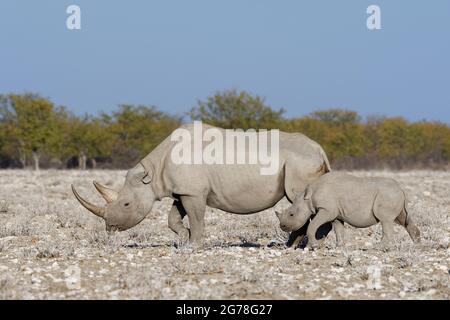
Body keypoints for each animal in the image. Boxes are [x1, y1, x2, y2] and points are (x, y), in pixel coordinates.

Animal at [276, 172, 420, 248]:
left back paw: (378, 247)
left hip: (387, 195)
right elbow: (338, 229)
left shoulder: (327, 210)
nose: (282, 226)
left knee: (385, 220)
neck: (308, 197)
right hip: (393, 195)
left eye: (291, 214)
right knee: (402, 219)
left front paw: (314, 246)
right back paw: (417, 245)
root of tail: (401, 188)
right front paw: (339, 246)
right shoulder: (336, 214)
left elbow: (313, 225)